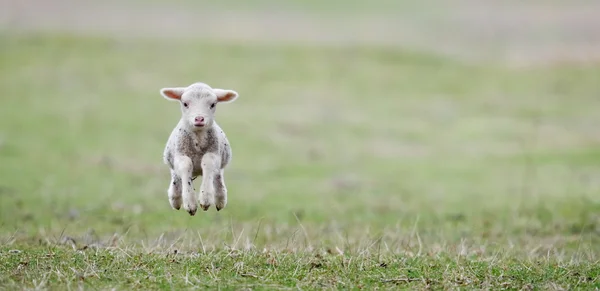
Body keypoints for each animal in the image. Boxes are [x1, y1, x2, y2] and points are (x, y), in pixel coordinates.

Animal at [162, 82, 241, 217]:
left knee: (218, 178)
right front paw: (190, 204)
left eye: (213, 104)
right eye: (185, 104)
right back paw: (175, 199)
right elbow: (186, 165)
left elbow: (208, 162)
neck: (198, 139)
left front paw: (205, 199)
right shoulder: (180, 156)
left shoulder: (215, 154)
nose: (199, 119)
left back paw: (220, 200)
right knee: (176, 178)